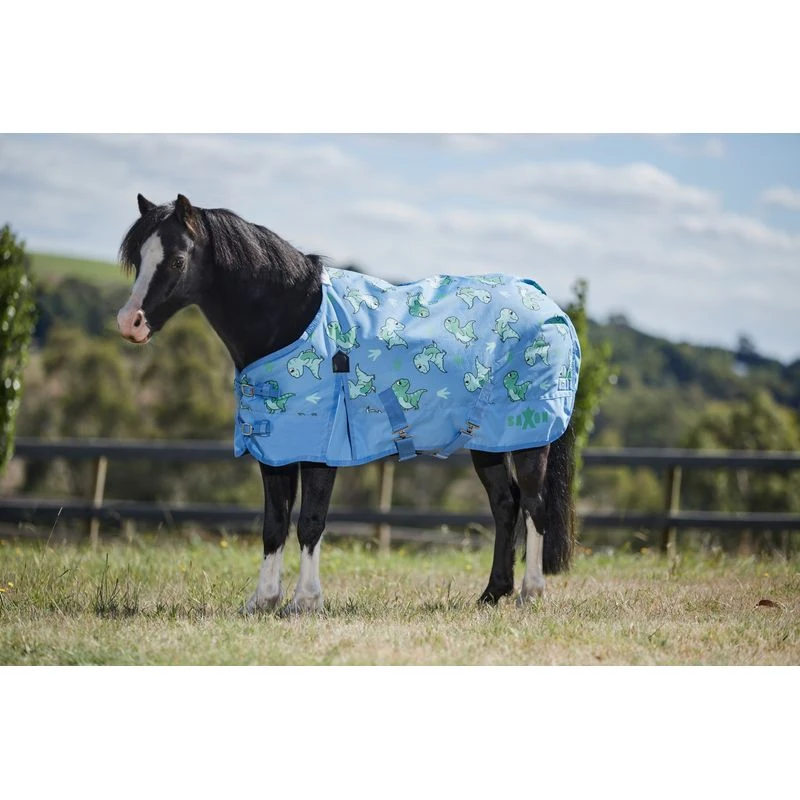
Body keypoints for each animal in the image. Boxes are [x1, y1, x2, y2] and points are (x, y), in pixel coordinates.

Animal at [116, 193, 580, 614]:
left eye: (177, 260)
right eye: (138, 258)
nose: (129, 323)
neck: (292, 319)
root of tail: (548, 304)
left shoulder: (322, 448)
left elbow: (310, 523)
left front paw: (305, 602)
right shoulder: (276, 447)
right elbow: (274, 525)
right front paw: (263, 601)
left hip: (529, 437)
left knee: (535, 507)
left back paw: (530, 594)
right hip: (489, 442)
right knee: (506, 505)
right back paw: (491, 594)